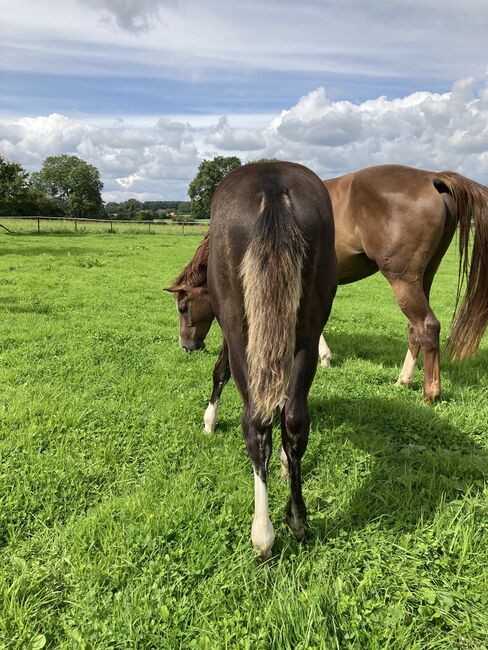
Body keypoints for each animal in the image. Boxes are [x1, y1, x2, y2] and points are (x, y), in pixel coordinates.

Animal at [166, 166, 486, 426]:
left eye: (183, 307)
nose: (186, 346)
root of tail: (432, 178)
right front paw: (325, 356)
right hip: (422, 278)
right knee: (415, 329)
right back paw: (403, 380)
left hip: (403, 280)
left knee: (427, 326)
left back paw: (429, 395)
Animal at [167, 159, 336, 556]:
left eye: (183, 307)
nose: (186, 346)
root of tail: (272, 188)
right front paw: (287, 466)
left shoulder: (232, 336)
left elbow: (220, 372)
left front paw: (209, 421)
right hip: (304, 333)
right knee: (294, 419)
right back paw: (297, 520)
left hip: (242, 330)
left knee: (256, 424)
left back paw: (263, 533)